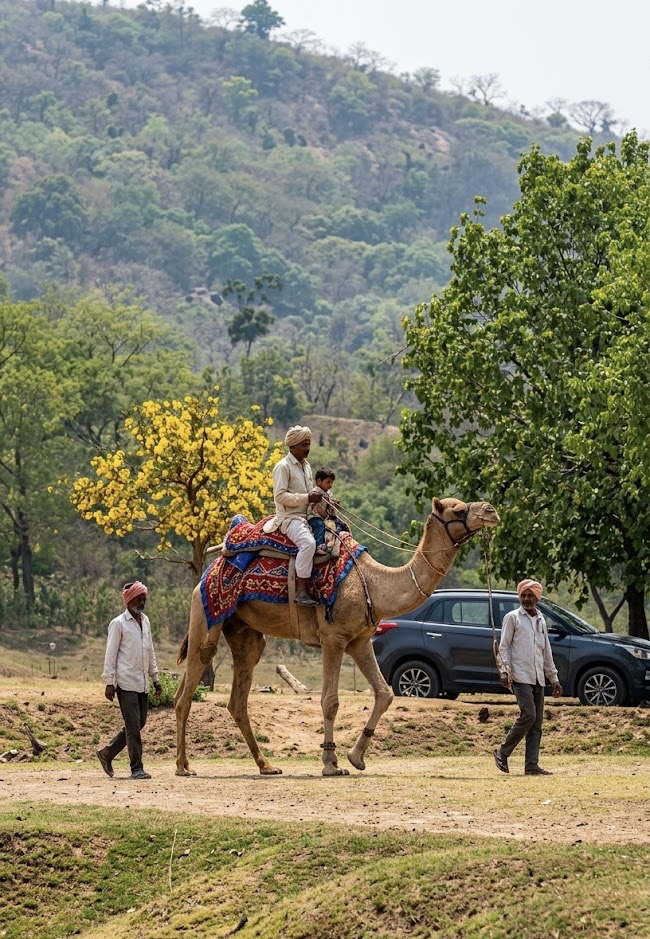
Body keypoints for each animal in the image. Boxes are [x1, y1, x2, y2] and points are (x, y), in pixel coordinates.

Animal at [174, 497, 499, 777]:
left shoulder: (359, 641)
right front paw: (331, 763)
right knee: (190, 684)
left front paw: (356, 757)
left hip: (244, 631)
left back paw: (266, 766)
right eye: (458, 509)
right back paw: (183, 766)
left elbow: (385, 693)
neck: (373, 584)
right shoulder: (333, 638)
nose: (491, 510)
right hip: (206, 614)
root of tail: (208, 571)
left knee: (237, 696)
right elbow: (330, 701)